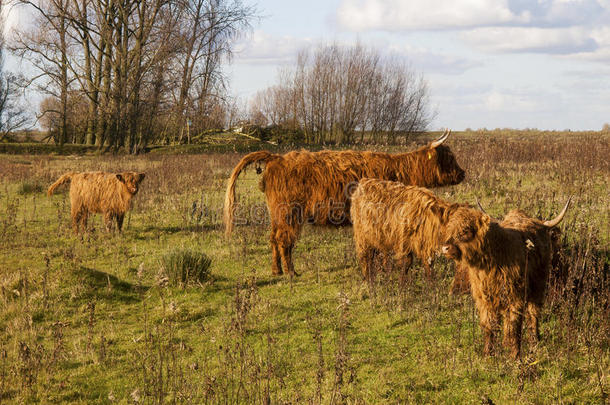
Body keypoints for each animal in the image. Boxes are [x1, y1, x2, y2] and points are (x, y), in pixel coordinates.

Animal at [226, 129, 464, 274]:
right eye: (450, 158)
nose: (462, 173)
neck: (400, 170)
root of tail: (276, 158)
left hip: (277, 214)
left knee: (273, 238)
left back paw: (277, 271)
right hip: (289, 212)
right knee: (284, 241)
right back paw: (291, 272)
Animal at [440, 197, 568, 356]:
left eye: (466, 231)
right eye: (451, 229)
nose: (445, 248)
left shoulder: (515, 296)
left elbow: (513, 327)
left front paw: (515, 356)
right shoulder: (484, 299)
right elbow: (489, 325)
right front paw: (488, 354)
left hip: (538, 285)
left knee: (533, 314)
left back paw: (534, 342)